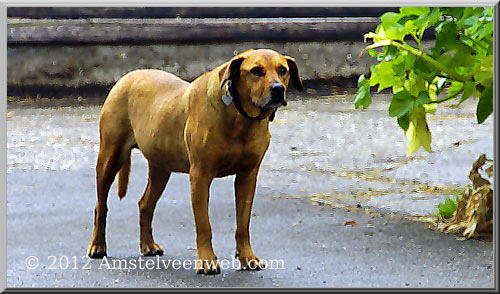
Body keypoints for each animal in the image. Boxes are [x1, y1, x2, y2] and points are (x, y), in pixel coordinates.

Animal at [87, 48, 300, 274]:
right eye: (256, 71)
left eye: (283, 70)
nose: (278, 89)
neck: (239, 116)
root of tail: (127, 77)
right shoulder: (200, 176)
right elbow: (204, 225)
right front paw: (207, 261)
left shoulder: (247, 177)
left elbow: (243, 225)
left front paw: (247, 257)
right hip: (109, 156)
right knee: (101, 206)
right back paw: (98, 245)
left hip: (161, 166)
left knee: (145, 204)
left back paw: (148, 244)